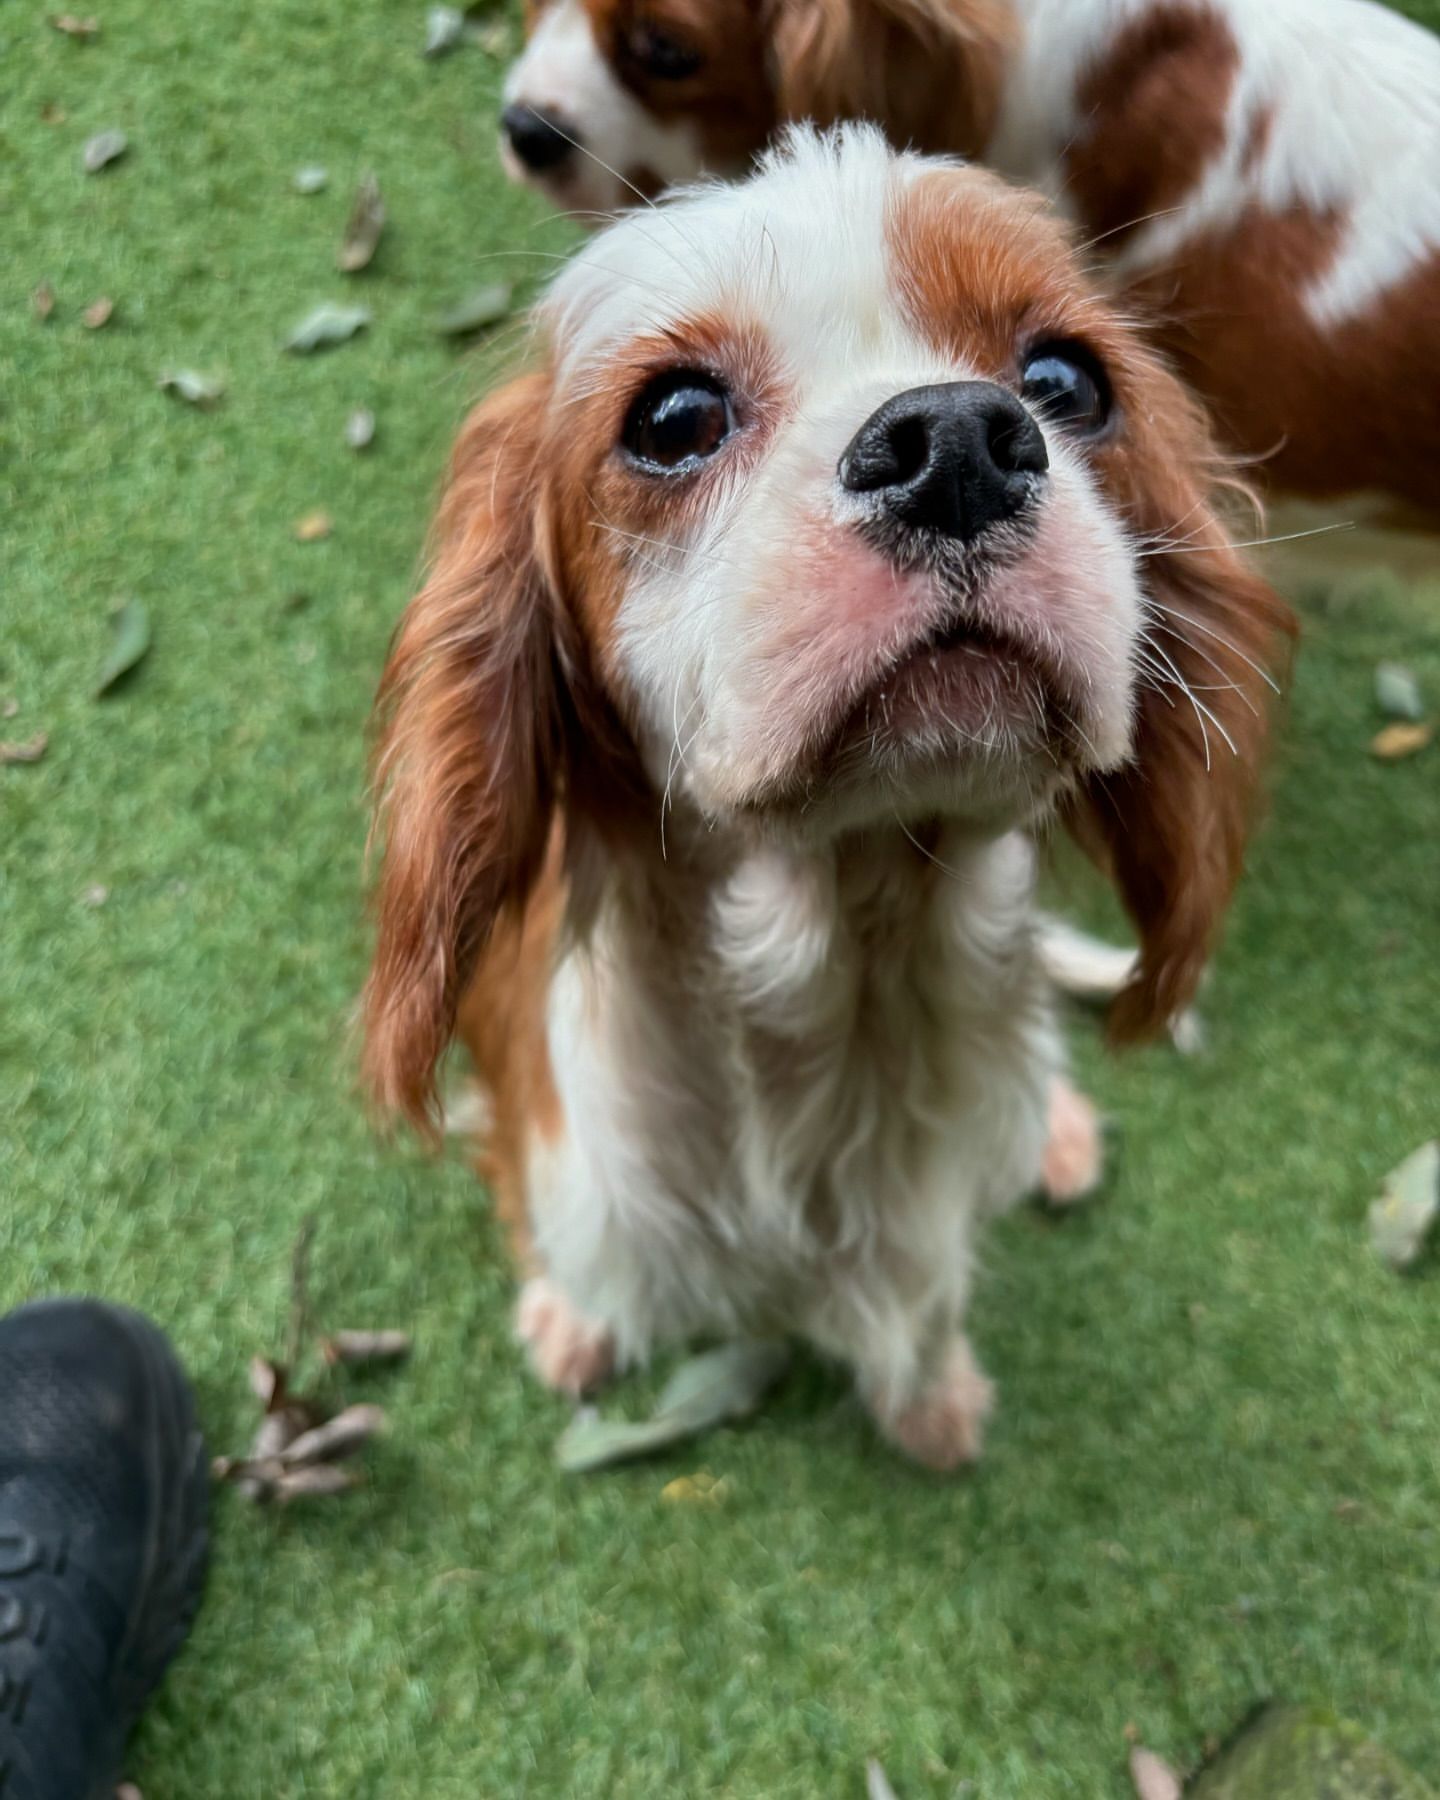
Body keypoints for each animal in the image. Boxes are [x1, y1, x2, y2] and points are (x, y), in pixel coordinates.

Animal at [365, 133, 1288, 1468]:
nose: (956, 441)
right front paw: (573, 1321)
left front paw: (931, 1393)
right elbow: (564, 1245)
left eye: (1067, 379)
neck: (859, 959)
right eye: (674, 417)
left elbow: (930, 1296)